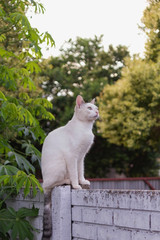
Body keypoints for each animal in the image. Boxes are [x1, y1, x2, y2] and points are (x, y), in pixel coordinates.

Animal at [41, 94, 99, 239]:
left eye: (96, 108)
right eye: (89, 108)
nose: (97, 112)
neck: (85, 128)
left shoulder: (81, 157)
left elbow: (80, 171)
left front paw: (82, 181)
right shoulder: (72, 156)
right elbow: (74, 173)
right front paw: (77, 185)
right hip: (60, 164)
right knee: (51, 184)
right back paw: (67, 181)